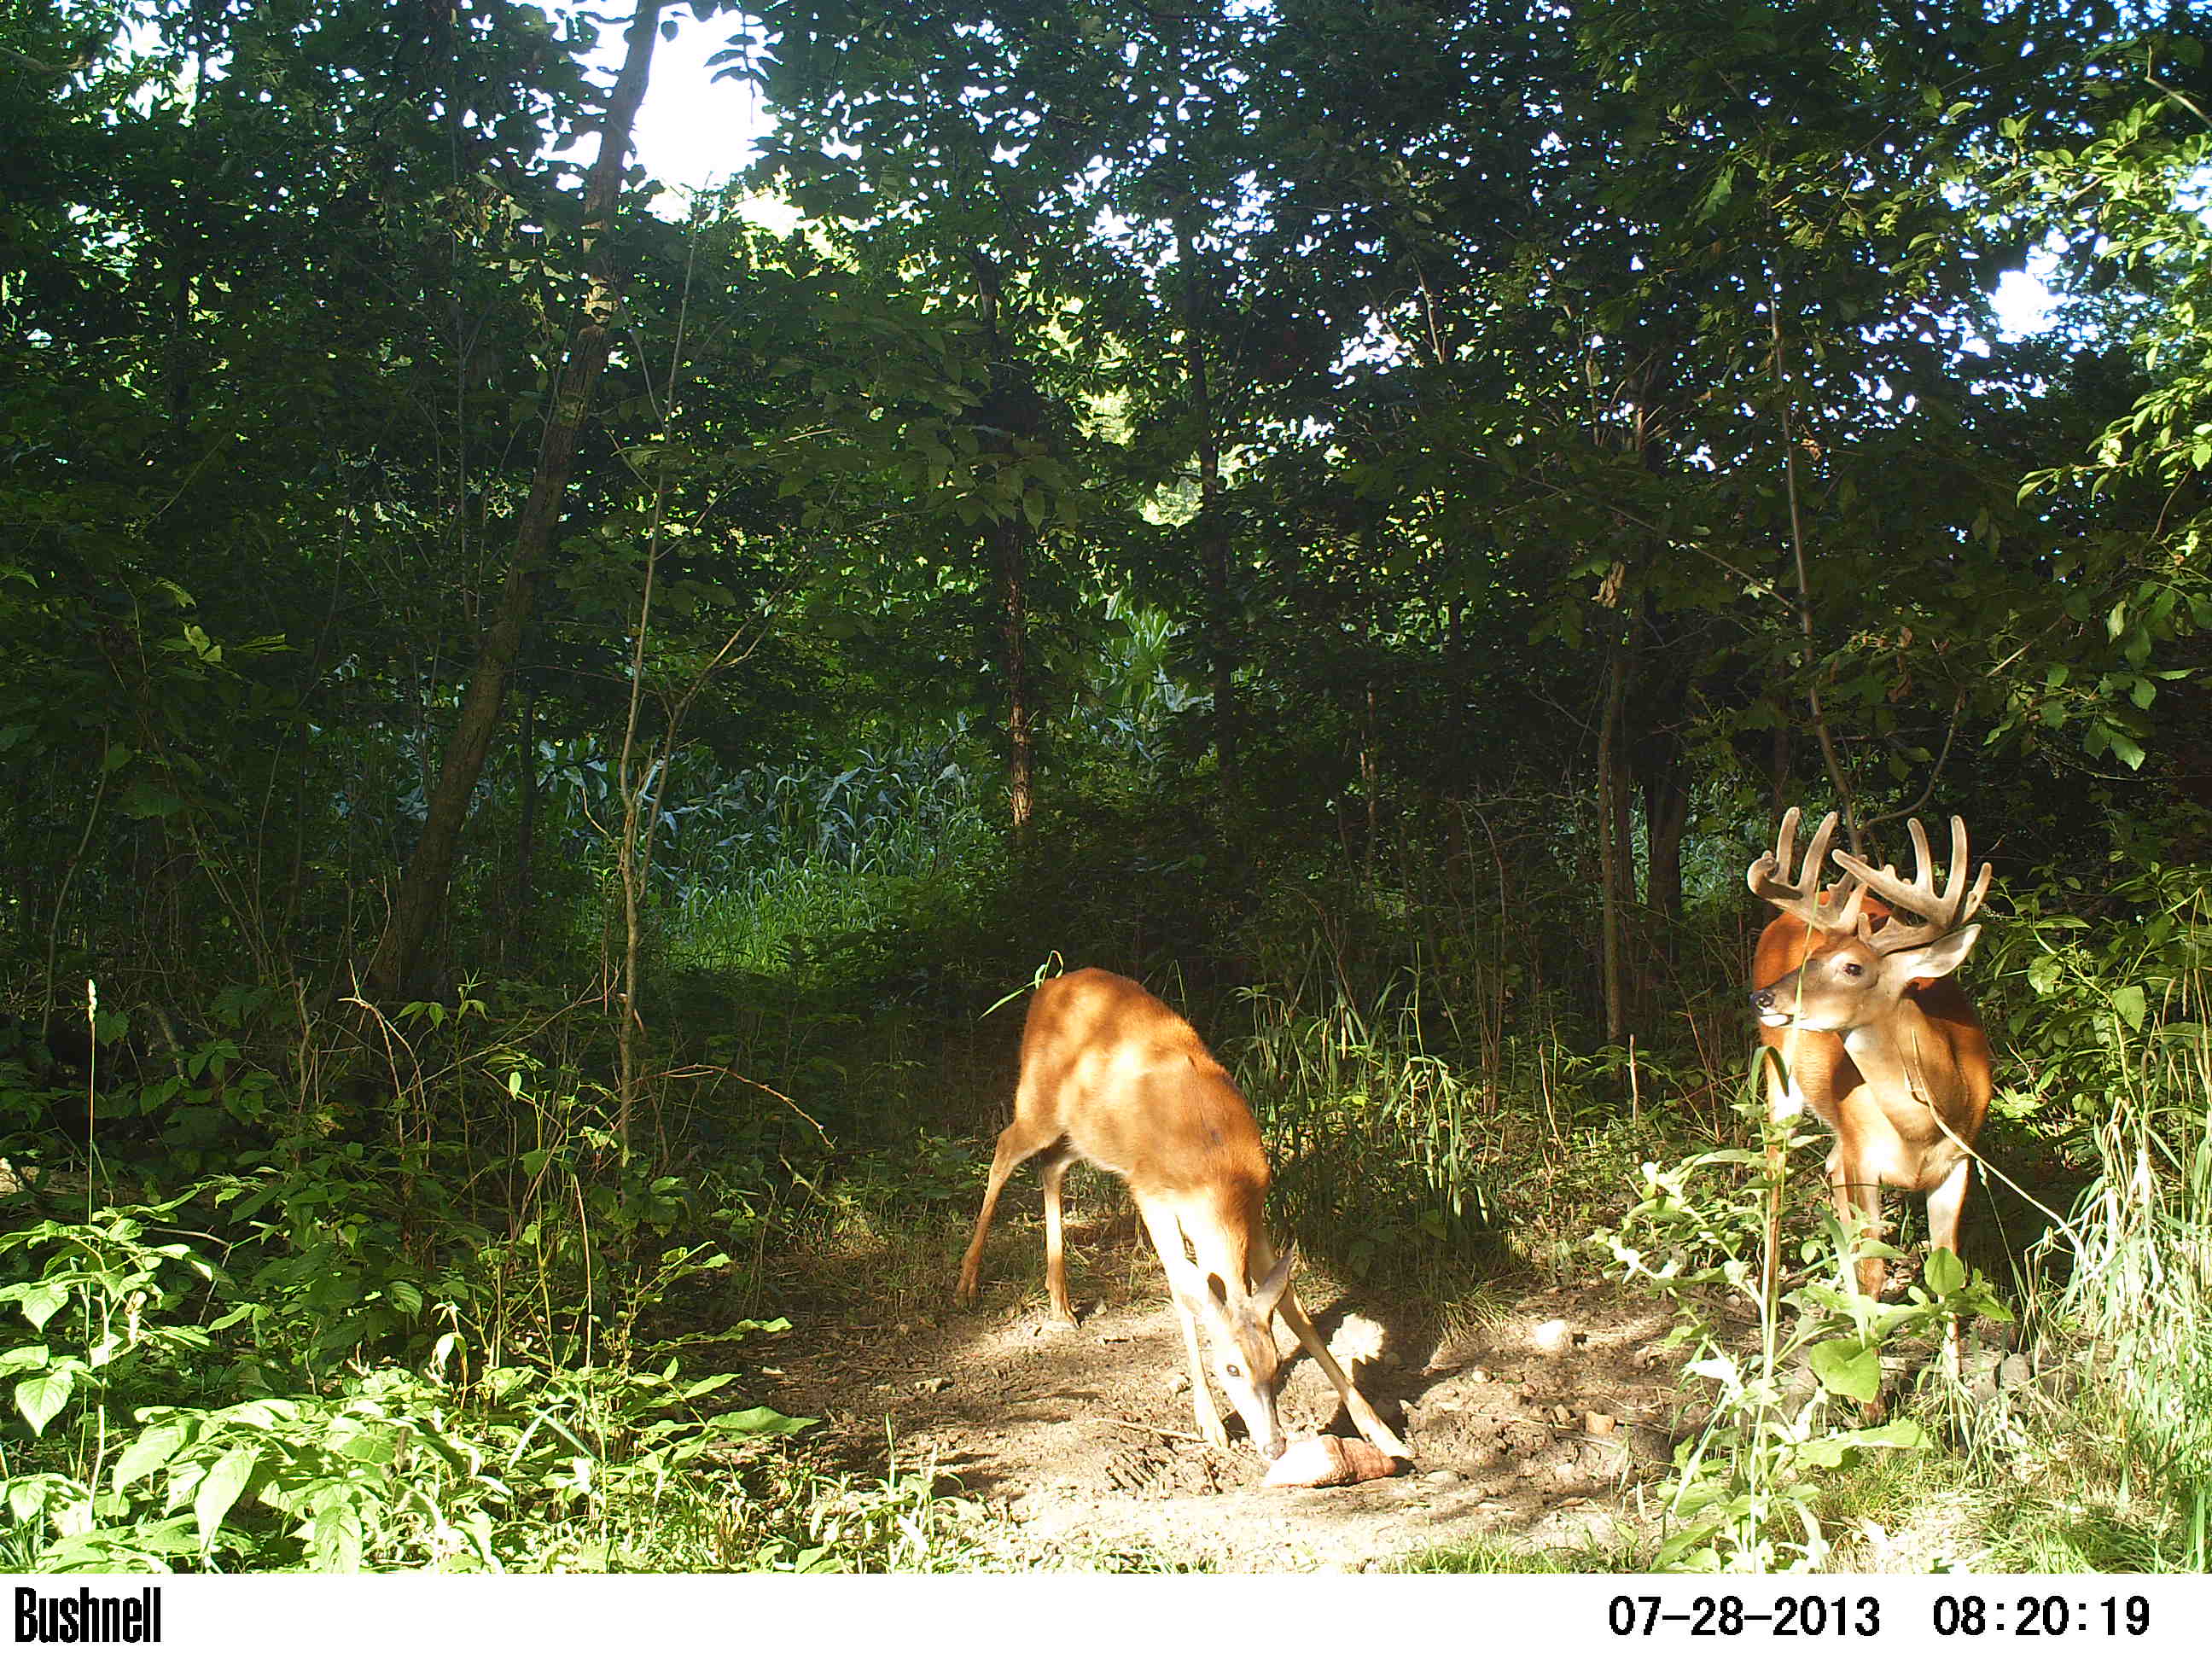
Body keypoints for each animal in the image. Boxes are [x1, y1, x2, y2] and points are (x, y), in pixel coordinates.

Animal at [955, 973, 1406, 1469]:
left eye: (1273, 1363)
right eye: (1231, 1367)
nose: (1274, 1445)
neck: (1218, 1176)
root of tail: (1049, 984)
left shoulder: (1256, 1211)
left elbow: (1294, 1309)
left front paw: (1381, 1433)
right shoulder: (1151, 1193)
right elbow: (1180, 1289)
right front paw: (1210, 1424)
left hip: (1085, 1133)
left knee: (1050, 1167)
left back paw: (1060, 1302)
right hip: (1037, 1103)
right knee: (1003, 1151)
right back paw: (967, 1283)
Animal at [1751, 805, 2000, 1362]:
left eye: (1852, 967)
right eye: (1811, 958)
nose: (1763, 997)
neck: (1922, 1127)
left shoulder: (1959, 1162)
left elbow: (1947, 1277)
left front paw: (1953, 1381)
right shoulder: (1864, 1159)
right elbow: (1873, 1271)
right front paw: (1869, 1374)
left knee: (1827, 1169)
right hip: (1780, 1078)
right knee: (1774, 1178)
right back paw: (1772, 1310)